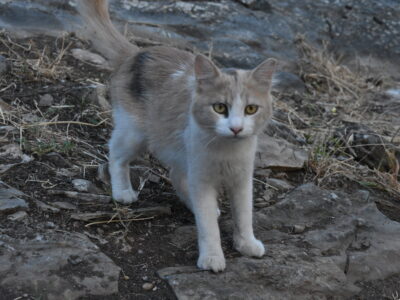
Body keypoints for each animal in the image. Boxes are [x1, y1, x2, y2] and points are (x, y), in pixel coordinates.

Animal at [78, 0, 278, 272]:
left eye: (250, 109)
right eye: (220, 108)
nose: (236, 128)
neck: (226, 151)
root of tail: (138, 52)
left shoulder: (242, 179)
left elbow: (244, 215)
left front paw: (246, 243)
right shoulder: (201, 177)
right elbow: (208, 226)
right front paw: (212, 257)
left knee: (175, 175)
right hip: (134, 133)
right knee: (116, 154)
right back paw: (123, 192)